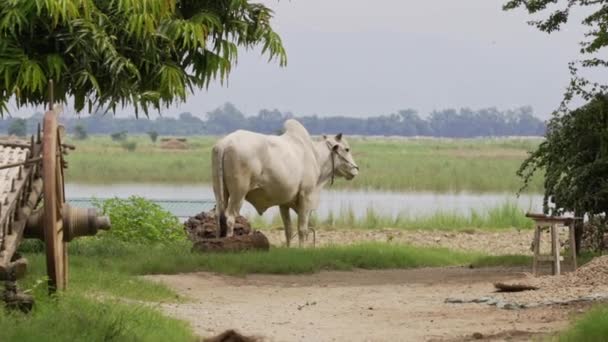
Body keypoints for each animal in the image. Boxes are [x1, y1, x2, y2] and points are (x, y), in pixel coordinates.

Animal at [211, 119, 358, 246]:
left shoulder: (284, 203)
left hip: (220, 191)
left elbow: (288, 230)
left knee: (218, 216)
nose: (355, 169)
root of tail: (225, 143)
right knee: (230, 217)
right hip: (239, 193)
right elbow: (302, 230)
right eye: (347, 149)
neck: (316, 156)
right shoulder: (306, 196)